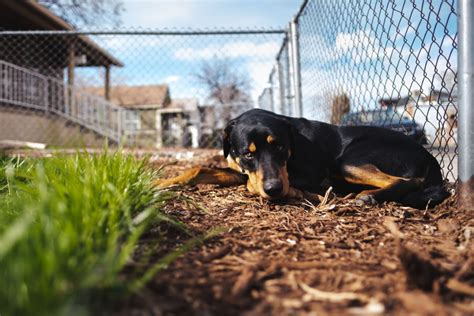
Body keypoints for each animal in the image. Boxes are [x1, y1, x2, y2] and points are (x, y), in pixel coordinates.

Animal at [157, 108, 450, 210]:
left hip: (346, 161)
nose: (274, 189)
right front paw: (160, 183)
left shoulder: (313, 176)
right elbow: (197, 168)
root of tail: (431, 159)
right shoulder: (240, 169)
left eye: (279, 147)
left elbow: (252, 184)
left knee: (410, 181)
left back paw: (368, 196)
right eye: (248, 153)